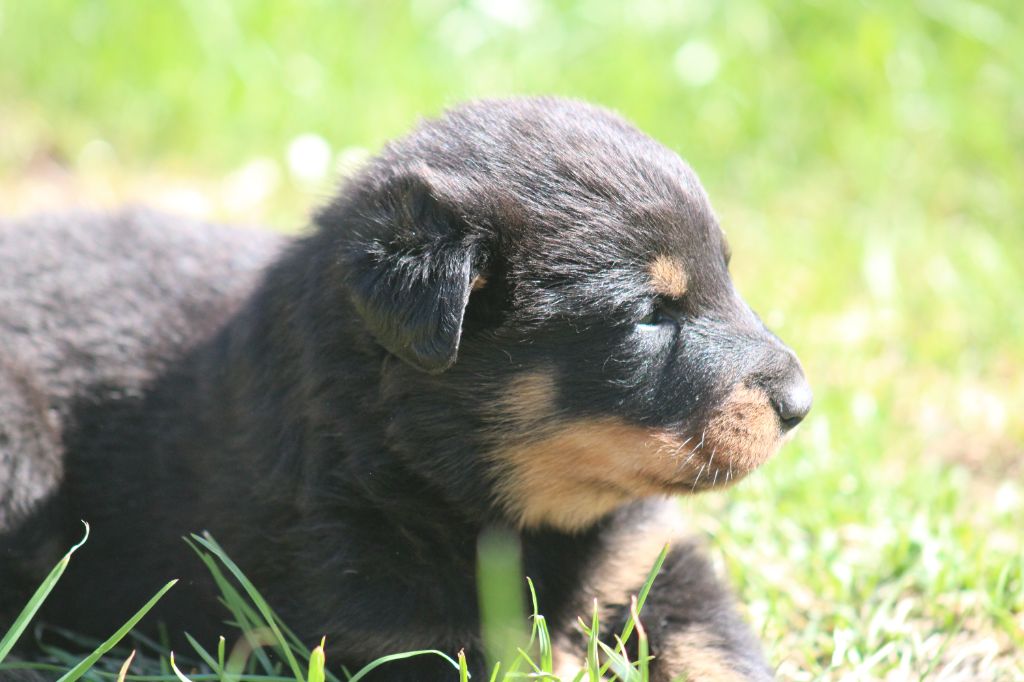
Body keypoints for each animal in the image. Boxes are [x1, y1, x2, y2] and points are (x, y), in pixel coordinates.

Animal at [0, 97, 810, 680]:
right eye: (649, 314)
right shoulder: (389, 631)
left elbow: (715, 648)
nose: (801, 404)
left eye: (727, 276)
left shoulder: (654, 566)